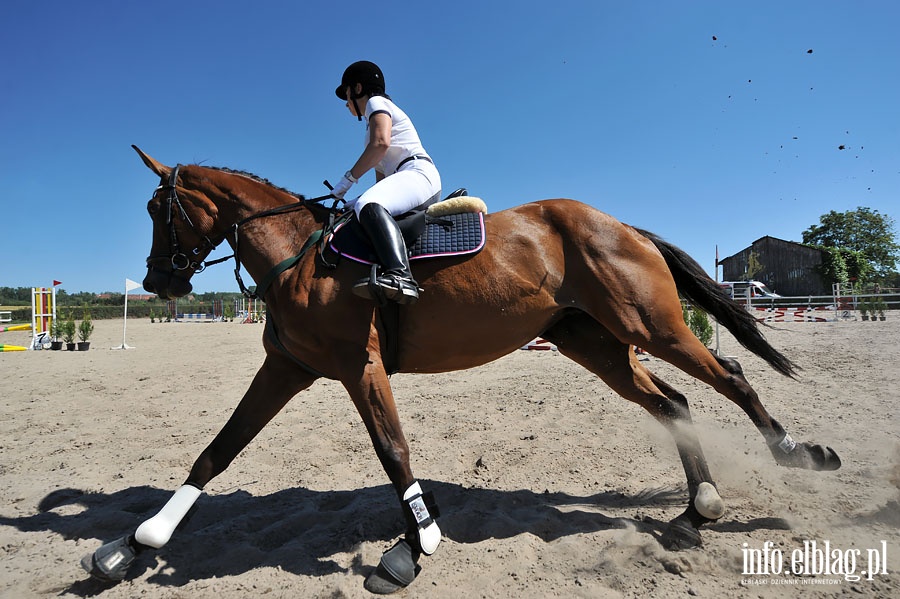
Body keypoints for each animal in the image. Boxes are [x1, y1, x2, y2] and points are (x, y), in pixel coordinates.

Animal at [81, 146, 840, 596]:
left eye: (157, 209)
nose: (158, 280)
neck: (298, 257)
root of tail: (622, 224)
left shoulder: (360, 366)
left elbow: (393, 450)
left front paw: (415, 545)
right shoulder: (288, 367)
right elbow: (217, 451)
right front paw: (133, 544)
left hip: (649, 326)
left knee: (731, 374)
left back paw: (798, 454)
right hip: (595, 344)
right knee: (675, 403)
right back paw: (696, 509)